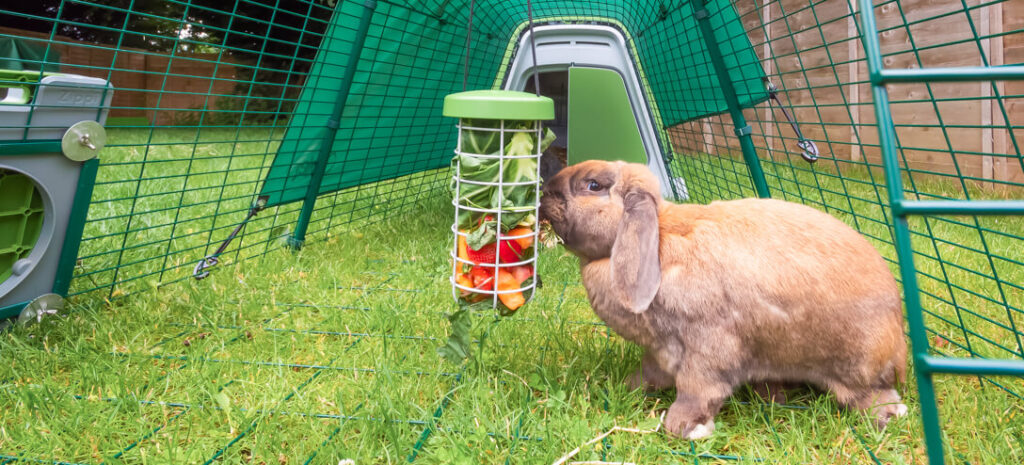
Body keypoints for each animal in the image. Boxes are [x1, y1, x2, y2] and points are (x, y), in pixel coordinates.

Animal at [538, 160, 907, 440]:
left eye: (593, 185)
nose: (545, 192)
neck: (660, 239)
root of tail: (899, 349)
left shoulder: (706, 348)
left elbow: (698, 390)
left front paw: (686, 428)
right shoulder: (659, 351)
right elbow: (650, 374)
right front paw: (626, 388)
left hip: (853, 365)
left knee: (871, 395)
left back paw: (888, 415)